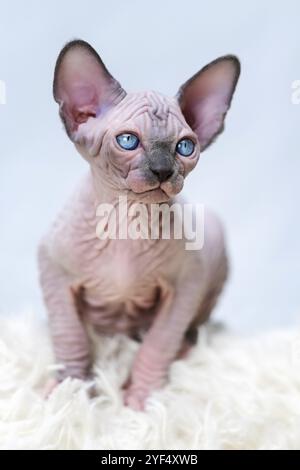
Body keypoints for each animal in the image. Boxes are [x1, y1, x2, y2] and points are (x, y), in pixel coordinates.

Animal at [38, 40, 240, 410]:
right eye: (128, 141)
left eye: (185, 147)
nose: (163, 170)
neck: (126, 222)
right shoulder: (53, 268)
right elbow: (69, 337)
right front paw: (69, 391)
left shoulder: (186, 284)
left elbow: (158, 344)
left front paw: (144, 399)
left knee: (189, 333)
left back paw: (184, 353)